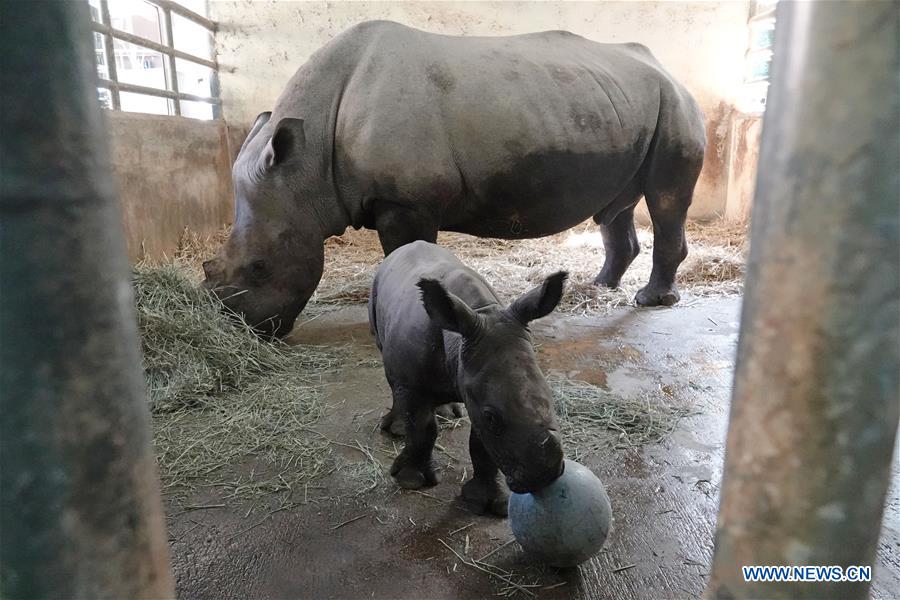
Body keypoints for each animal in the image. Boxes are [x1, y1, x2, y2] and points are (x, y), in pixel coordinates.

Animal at [203, 20, 706, 337]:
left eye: (259, 268)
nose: (245, 328)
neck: (307, 168)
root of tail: (670, 72)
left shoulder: (405, 202)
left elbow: (407, 256)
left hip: (676, 106)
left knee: (665, 200)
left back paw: (649, 301)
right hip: (625, 105)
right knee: (617, 205)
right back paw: (602, 286)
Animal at [369, 241, 566, 515]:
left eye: (552, 400)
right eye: (491, 417)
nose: (546, 474)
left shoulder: (475, 385)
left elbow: (480, 445)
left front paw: (487, 502)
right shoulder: (414, 385)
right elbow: (422, 428)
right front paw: (411, 480)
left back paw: (449, 411)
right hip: (377, 292)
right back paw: (397, 428)